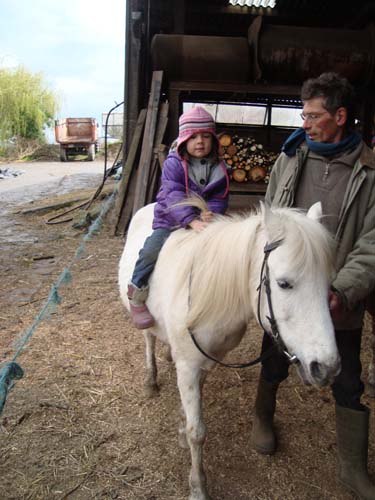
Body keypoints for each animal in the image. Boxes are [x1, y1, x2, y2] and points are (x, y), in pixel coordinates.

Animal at [119, 201, 342, 500]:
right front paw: (198, 486)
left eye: (329, 285)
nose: (327, 367)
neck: (205, 296)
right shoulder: (189, 366)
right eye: (284, 284)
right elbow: (198, 432)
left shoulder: (205, 362)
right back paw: (150, 380)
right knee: (148, 339)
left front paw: (181, 425)